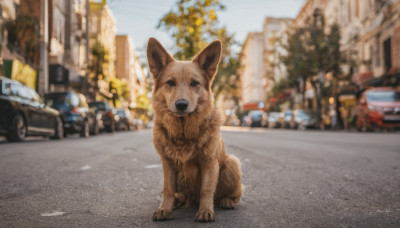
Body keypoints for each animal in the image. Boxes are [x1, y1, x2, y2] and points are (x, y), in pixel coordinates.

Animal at [146, 37, 242, 223]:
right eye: (170, 83)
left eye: (194, 83)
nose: (181, 104)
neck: (183, 132)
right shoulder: (167, 163)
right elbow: (168, 189)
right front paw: (165, 209)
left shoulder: (209, 163)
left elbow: (206, 190)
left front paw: (205, 211)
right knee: (179, 195)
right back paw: (178, 201)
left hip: (231, 162)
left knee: (233, 195)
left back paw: (227, 201)